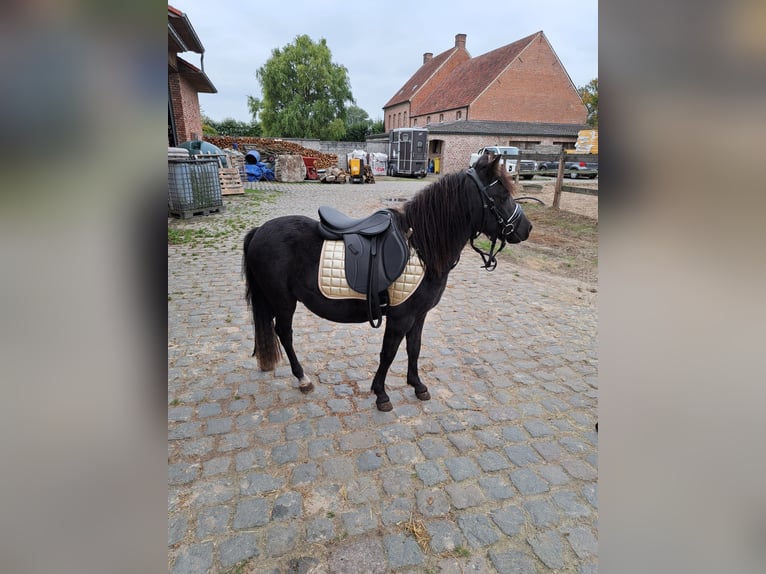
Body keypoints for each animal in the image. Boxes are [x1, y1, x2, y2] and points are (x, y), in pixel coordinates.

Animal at [242, 153, 532, 411]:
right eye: (502, 195)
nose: (526, 228)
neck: (422, 246)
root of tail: (259, 231)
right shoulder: (400, 317)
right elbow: (389, 353)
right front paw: (381, 394)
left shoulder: (419, 315)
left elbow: (414, 349)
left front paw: (417, 385)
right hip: (283, 301)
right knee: (285, 333)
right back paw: (302, 378)